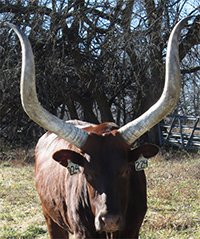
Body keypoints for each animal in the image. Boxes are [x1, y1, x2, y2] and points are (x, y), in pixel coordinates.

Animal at [6, 17, 191, 239]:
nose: (109, 220)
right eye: (88, 173)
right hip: (50, 217)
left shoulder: (133, 230)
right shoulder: (81, 231)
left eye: (125, 171)